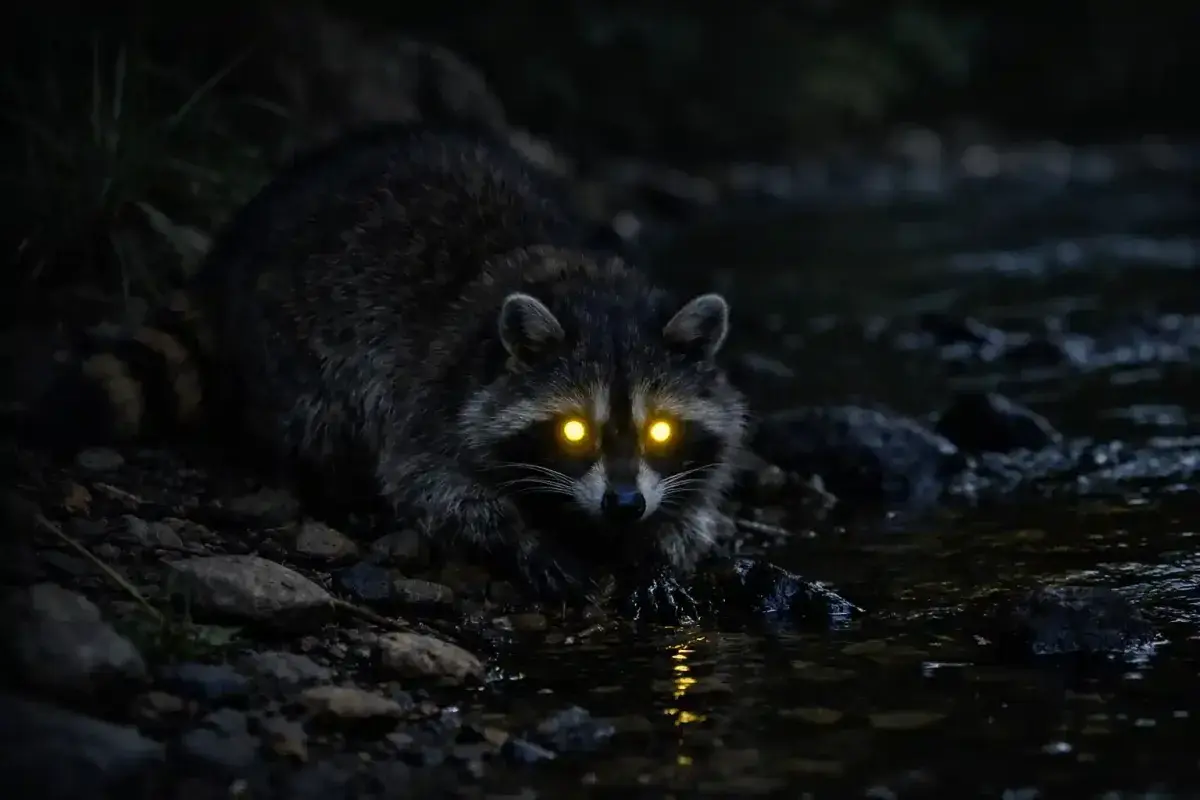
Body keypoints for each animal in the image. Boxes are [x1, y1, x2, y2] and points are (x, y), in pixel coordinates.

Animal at [35, 124, 750, 603]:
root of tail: (231, 250)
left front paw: (662, 545)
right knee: (317, 418)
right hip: (295, 341)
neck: (594, 295)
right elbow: (430, 482)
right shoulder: (434, 391)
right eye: (574, 430)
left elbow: (699, 499)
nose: (625, 504)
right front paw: (518, 535)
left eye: (660, 429)